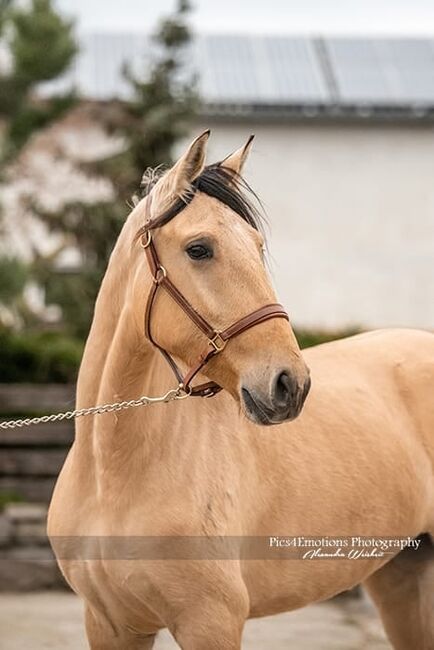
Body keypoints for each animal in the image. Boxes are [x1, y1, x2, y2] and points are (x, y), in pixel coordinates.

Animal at [47, 129, 434, 644]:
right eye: (199, 249)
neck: (114, 473)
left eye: (257, 245)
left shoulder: (210, 624)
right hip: (401, 577)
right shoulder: (111, 625)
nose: (291, 384)